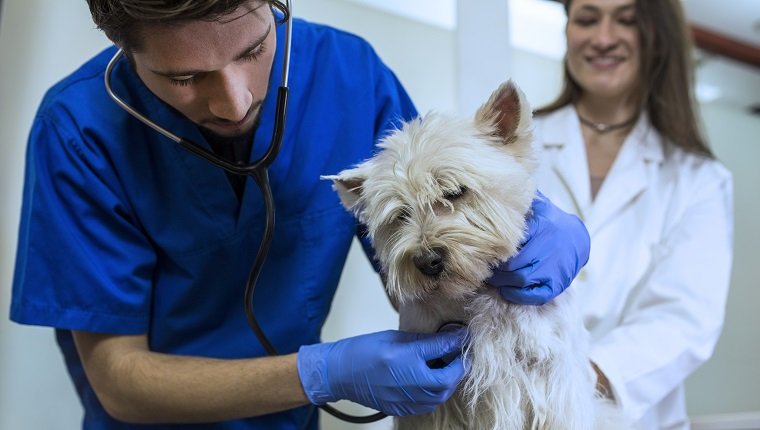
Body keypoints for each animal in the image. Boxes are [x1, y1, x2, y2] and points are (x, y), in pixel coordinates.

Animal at [324, 80, 628, 426]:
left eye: (455, 192)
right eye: (401, 215)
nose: (427, 261)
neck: (477, 290)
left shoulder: (553, 378)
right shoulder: (433, 399)